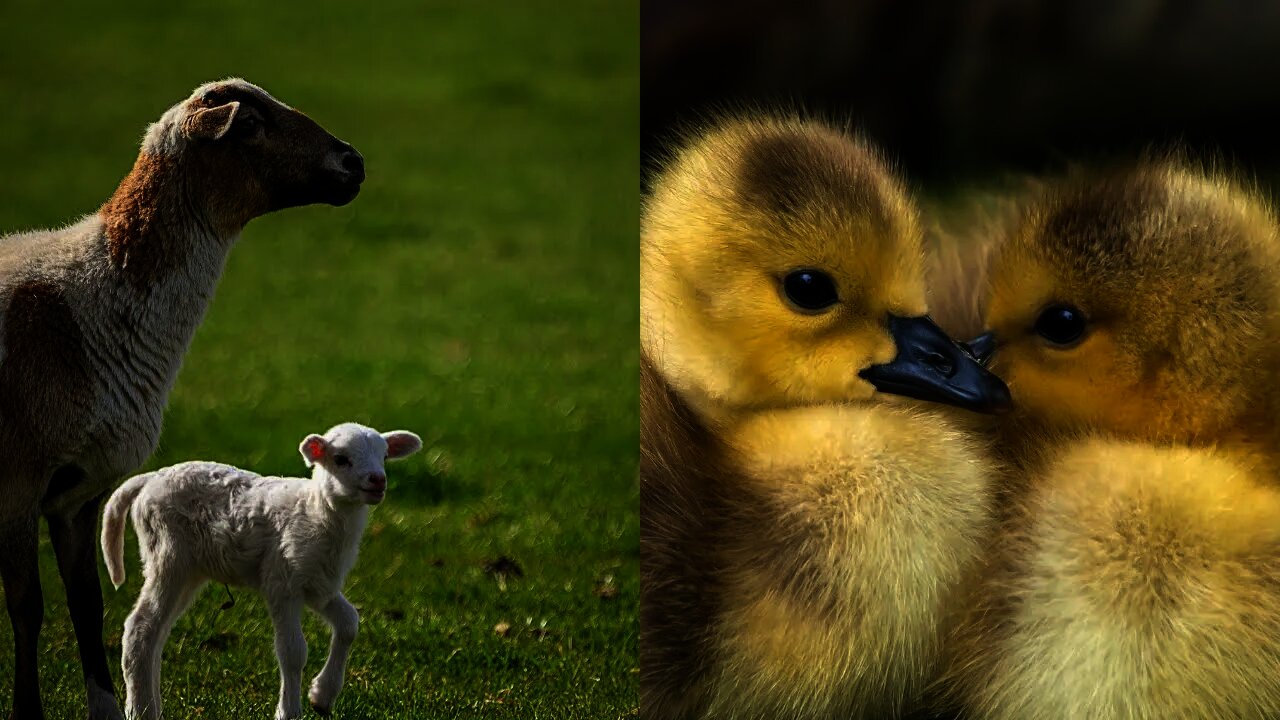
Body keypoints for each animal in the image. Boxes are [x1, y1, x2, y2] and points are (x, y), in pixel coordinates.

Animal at [0, 77, 363, 717]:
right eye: (251, 124)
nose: (354, 163)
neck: (87, 303)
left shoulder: (77, 493)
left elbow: (86, 603)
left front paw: (105, 706)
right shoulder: (20, 482)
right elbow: (29, 607)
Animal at [101, 420, 419, 717]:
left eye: (385, 455)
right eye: (341, 459)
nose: (378, 480)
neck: (316, 512)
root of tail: (150, 479)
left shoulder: (318, 584)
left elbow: (349, 624)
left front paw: (322, 696)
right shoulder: (283, 579)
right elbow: (293, 651)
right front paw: (289, 711)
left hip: (189, 570)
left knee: (157, 634)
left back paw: (151, 706)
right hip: (168, 555)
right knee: (140, 627)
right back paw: (140, 710)